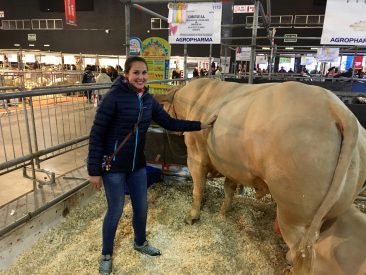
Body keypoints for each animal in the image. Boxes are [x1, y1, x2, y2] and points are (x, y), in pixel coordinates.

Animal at [156, 78, 366, 274]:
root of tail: (338, 110)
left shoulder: (195, 155)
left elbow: (198, 187)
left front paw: (192, 216)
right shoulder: (232, 165)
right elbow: (229, 188)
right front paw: (223, 212)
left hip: (294, 214)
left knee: (303, 255)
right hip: (327, 213)